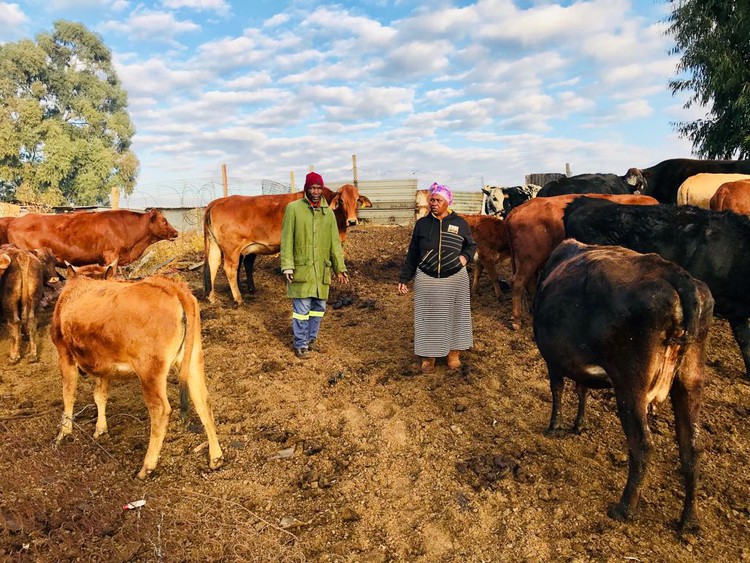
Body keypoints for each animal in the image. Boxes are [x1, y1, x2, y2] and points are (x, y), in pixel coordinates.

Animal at [52, 270, 223, 478]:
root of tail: (170, 286)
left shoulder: (64, 354)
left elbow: (68, 394)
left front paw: (64, 432)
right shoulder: (102, 364)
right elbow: (100, 395)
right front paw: (100, 429)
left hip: (150, 371)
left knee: (160, 410)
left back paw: (147, 466)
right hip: (192, 360)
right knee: (203, 401)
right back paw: (216, 457)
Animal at [204, 184, 372, 304]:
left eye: (357, 200)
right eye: (342, 200)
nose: (352, 221)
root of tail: (218, 201)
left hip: (216, 245)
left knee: (213, 264)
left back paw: (212, 297)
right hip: (232, 248)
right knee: (229, 269)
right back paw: (238, 298)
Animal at [532, 240, 712, 532]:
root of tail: (675, 273)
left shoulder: (553, 359)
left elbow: (557, 390)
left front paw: (553, 426)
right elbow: (581, 388)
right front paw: (578, 424)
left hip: (631, 385)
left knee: (642, 443)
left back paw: (625, 508)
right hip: (689, 380)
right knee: (692, 447)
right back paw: (689, 519)